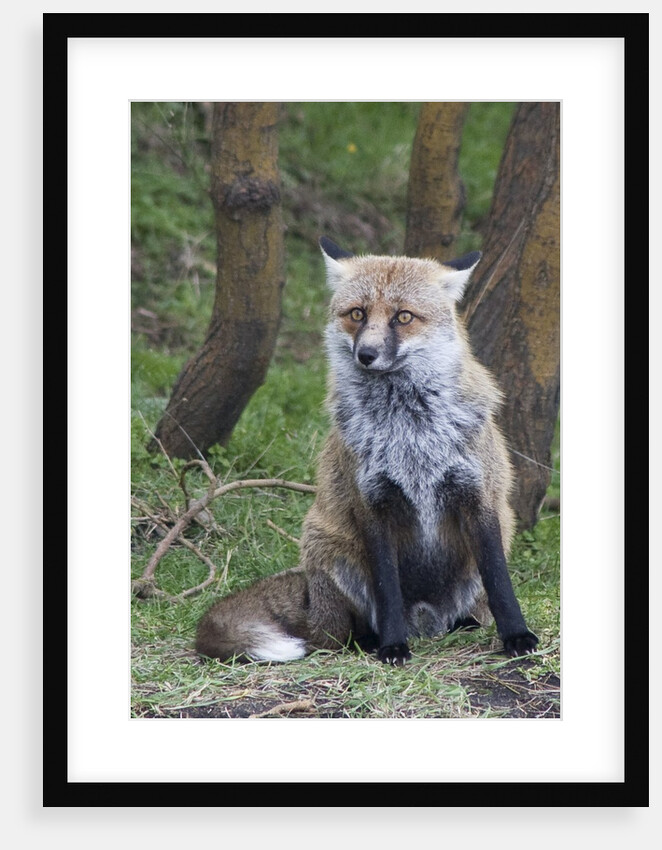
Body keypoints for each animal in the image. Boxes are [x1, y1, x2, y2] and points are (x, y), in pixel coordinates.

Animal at [195, 236, 539, 666]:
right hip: (328, 551)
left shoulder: (480, 497)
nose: (367, 355)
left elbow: (501, 584)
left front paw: (517, 637)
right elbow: (387, 589)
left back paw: (464, 625)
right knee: (335, 636)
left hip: (488, 548)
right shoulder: (371, 504)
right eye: (357, 314)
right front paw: (393, 647)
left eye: (403, 317)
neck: (410, 433)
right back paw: (367, 641)